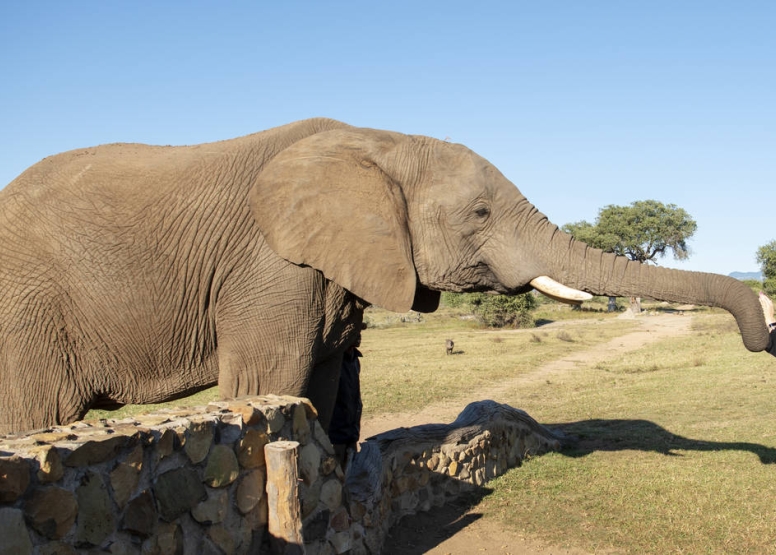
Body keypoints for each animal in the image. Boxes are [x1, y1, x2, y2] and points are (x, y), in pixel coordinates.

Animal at [0, 120, 768, 434]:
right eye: (481, 212)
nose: (766, 338)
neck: (383, 138)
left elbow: (326, 383)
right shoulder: (269, 262)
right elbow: (268, 381)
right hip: (25, 307)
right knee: (35, 415)